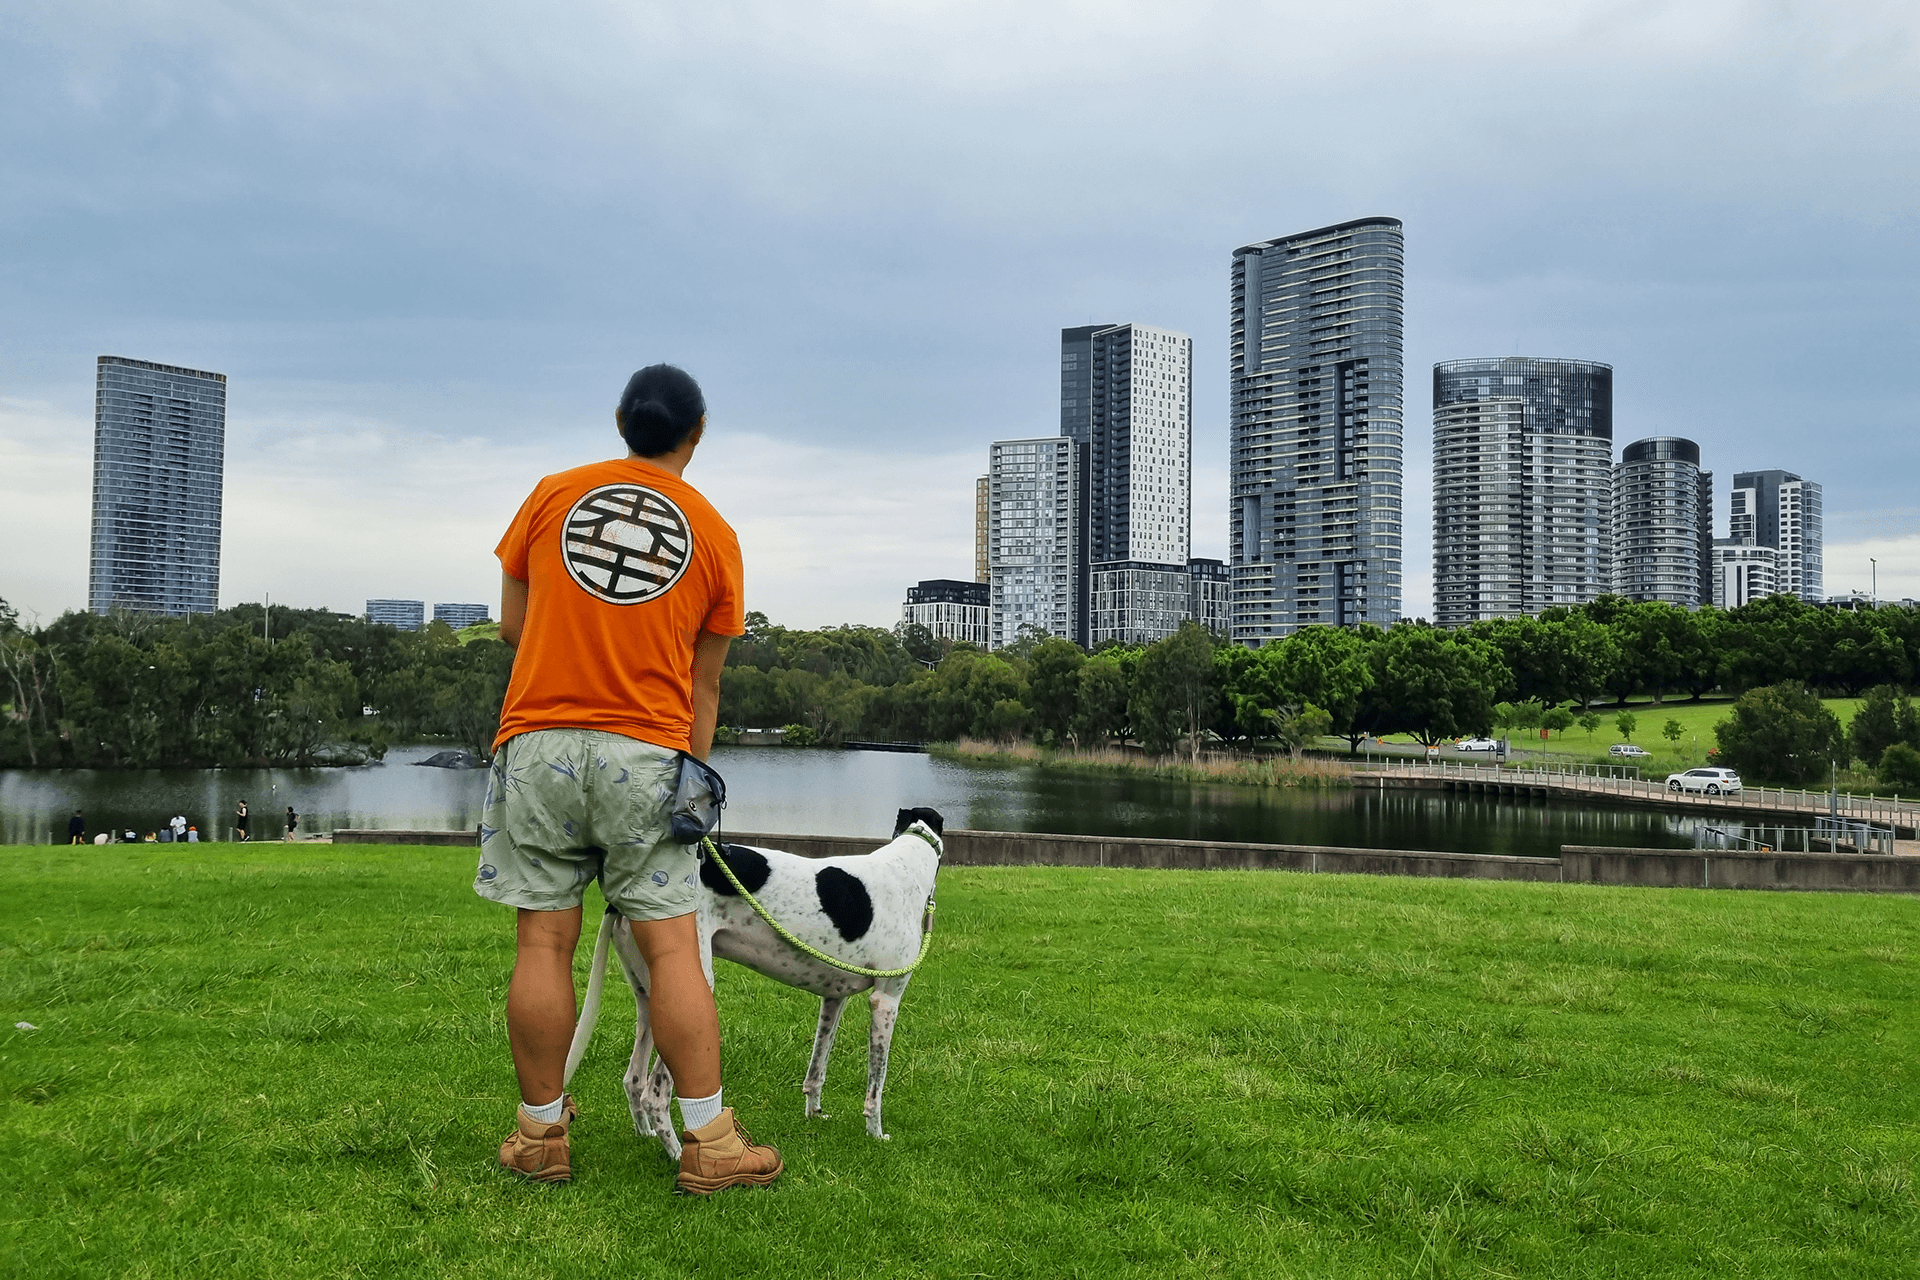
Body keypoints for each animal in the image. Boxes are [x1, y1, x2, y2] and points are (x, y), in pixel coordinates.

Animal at [560, 805, 940, 1159]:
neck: (908, 860)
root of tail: (624, 895)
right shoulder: (886, 1001)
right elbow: (877, 1081)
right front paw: (876, 1133)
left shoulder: (833, 998)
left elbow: (817, 1067)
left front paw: (815, 1114)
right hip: (691, 987)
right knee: (655, 1092)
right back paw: (680, 1155)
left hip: (650, 998)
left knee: (634, 1080)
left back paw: (648, 1136)